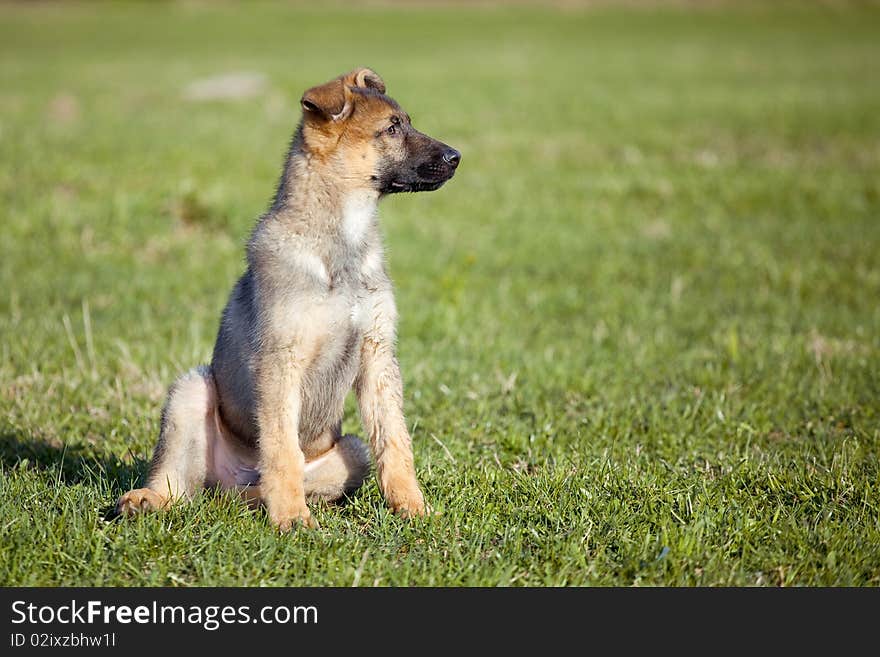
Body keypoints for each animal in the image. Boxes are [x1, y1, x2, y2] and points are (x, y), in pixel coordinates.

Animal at [116, 68, 460, 528]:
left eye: (405, 122)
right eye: (391, 129)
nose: (457, 156)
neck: (341, 245)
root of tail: (232, 480)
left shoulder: (377, 355)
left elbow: (395, 442)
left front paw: (412, 507)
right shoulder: (281, 359)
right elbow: (281, 448)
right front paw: (293, 520)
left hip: (352, 450)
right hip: (191, 390)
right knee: (179, 484)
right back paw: (147, 500)